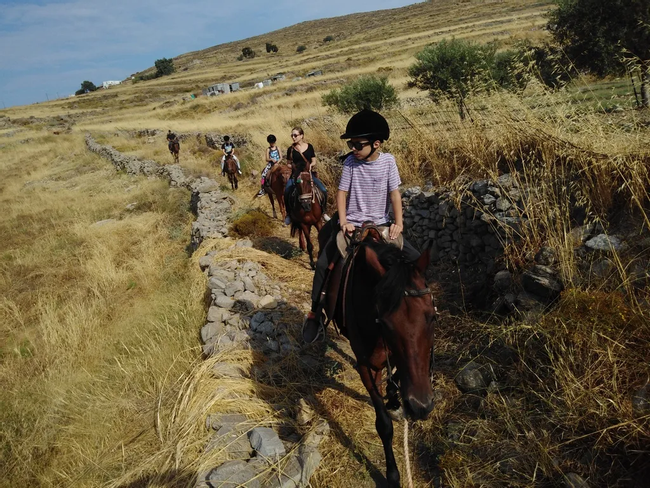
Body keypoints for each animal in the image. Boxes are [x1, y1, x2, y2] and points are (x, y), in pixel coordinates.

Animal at [322, 228, 436, 487]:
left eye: (432, 317)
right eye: (384, 323)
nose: (421, 406)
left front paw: (395, 401)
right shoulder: (366, 365)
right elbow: (383, 424)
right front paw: (392, 475)